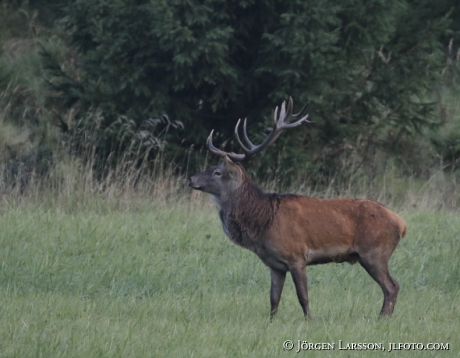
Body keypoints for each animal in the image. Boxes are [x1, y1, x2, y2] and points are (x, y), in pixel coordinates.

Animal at [186, 98, 406, 318]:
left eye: (217, 172)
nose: (190, 179)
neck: (263, 222)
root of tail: (402, 223)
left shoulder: (296, 257)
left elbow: (303, 297)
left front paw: (310, 320)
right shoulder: (275, 265)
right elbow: (274, 299)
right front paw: (271, 322)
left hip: (374, 252)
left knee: (392, 286)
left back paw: (382, 318)